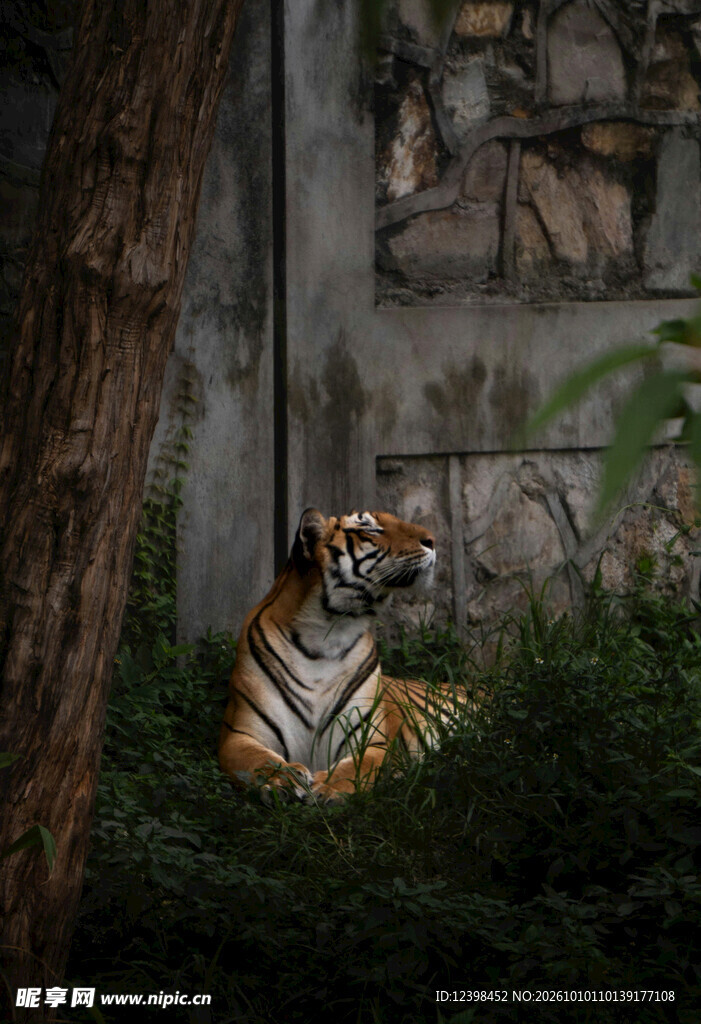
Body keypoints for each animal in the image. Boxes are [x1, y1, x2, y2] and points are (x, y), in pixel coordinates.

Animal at [218, 507, 461, 803]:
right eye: (370, 528)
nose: (432, 540)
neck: (325, 635)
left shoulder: (371, 739)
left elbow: (360, 766)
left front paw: (329, 787)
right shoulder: (239, 735)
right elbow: (259, 760)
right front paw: (283, 779)